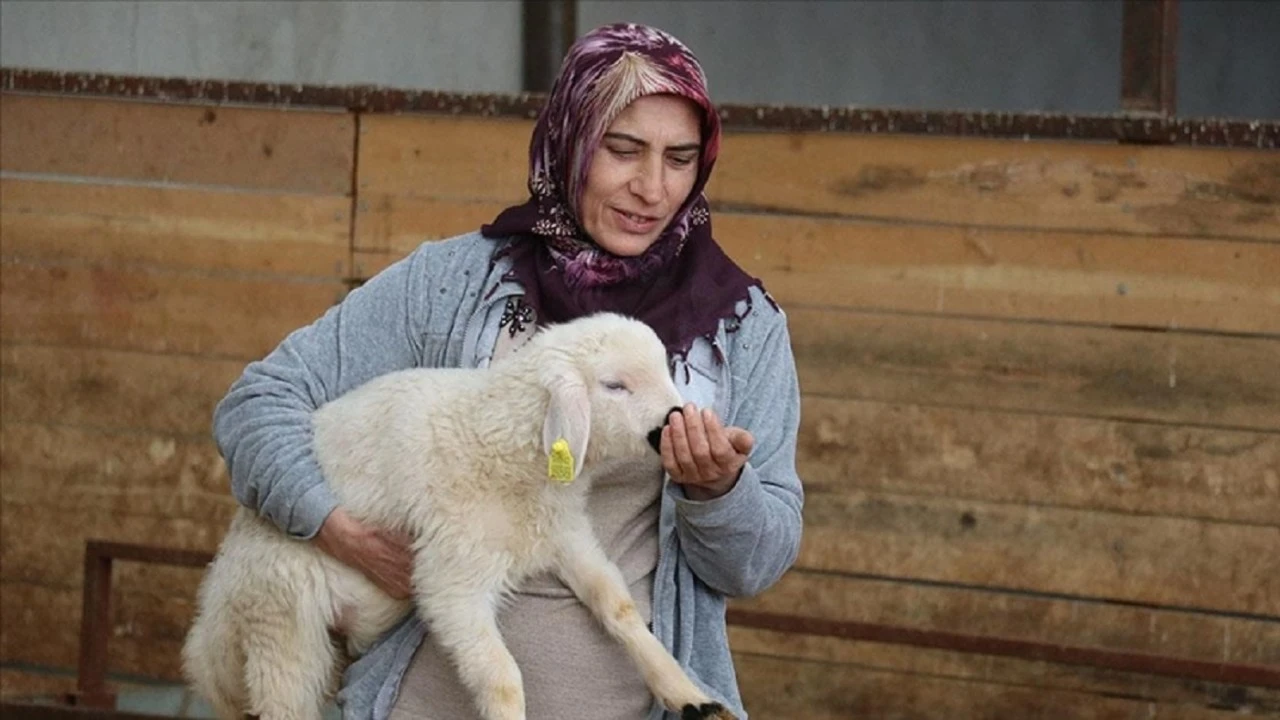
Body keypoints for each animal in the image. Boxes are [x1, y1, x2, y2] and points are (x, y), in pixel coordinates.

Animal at [184, 312, 737, 717]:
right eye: (614, 385)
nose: (674, 421)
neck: (500, 444)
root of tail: (217, 597)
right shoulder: (452, 580)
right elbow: (502, 678)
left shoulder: (563, 534)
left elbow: (617, 606)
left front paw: (687, 694)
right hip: (281, 622)